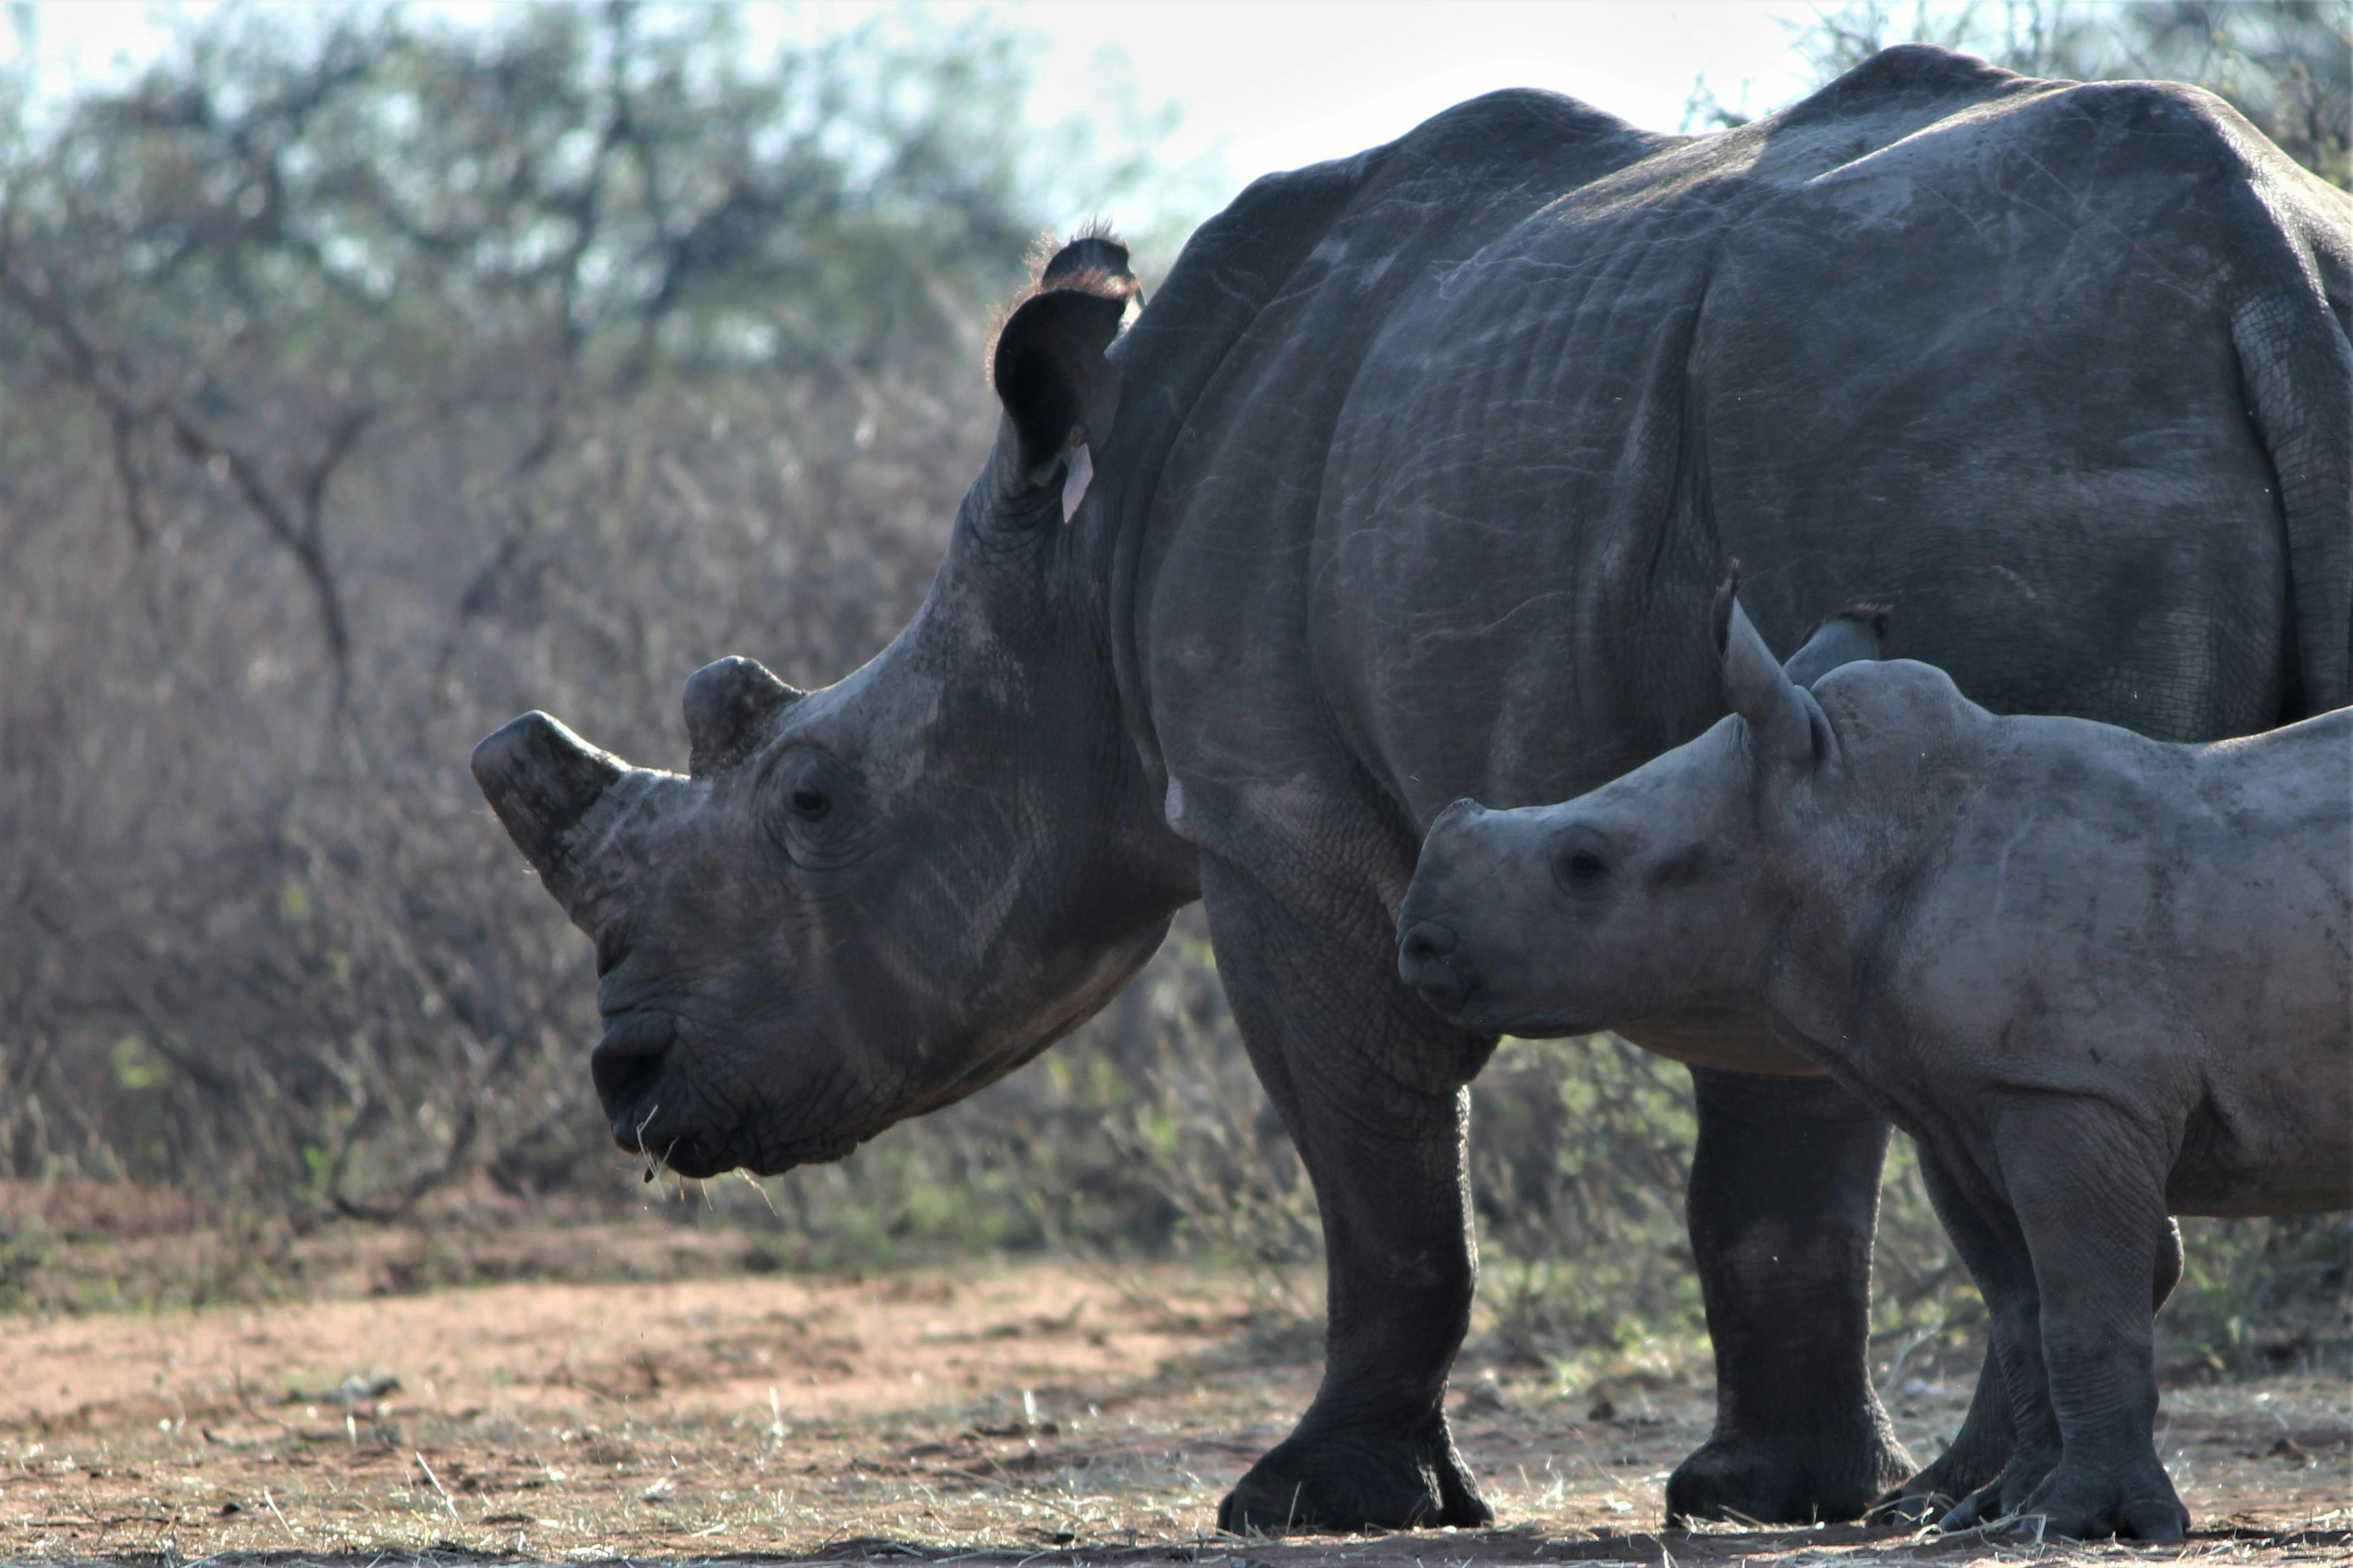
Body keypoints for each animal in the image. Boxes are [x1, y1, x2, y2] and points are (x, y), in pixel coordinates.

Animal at [1392, 587, 2353, 1542]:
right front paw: (1997, 1512)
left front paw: (2084, 1520)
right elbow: (2023, 1315)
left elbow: (2083, 1309)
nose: (1419, 944)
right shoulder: (1965, 1106)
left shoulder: (2068, 1089)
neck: (1845, 825)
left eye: (1584, 864)